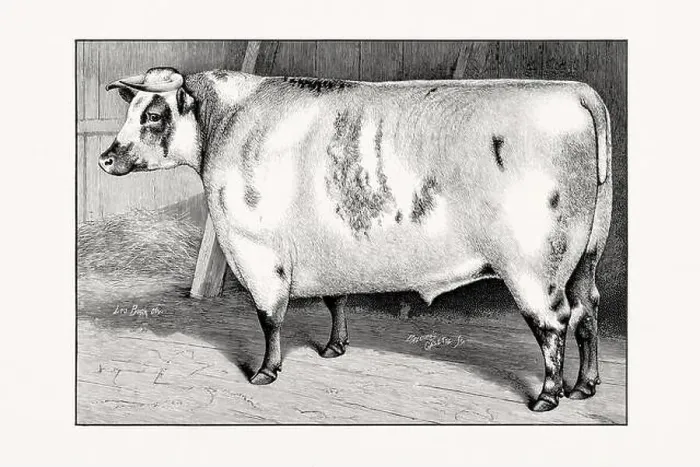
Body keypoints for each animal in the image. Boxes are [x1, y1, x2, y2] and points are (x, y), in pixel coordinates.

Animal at [99, 66, 612, 412]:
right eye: (129, 110)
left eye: (154, 114)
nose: (105, 157)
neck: (226, 125)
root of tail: (574, 90)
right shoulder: (330, 251)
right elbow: (335, 299)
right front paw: (334, 346)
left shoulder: (259, 254)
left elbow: (269, 317)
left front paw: (265, 372)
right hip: (586, 256)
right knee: (587, 311)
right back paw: (584, 387)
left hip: (534, 265)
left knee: (554, 322)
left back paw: (548, 396)